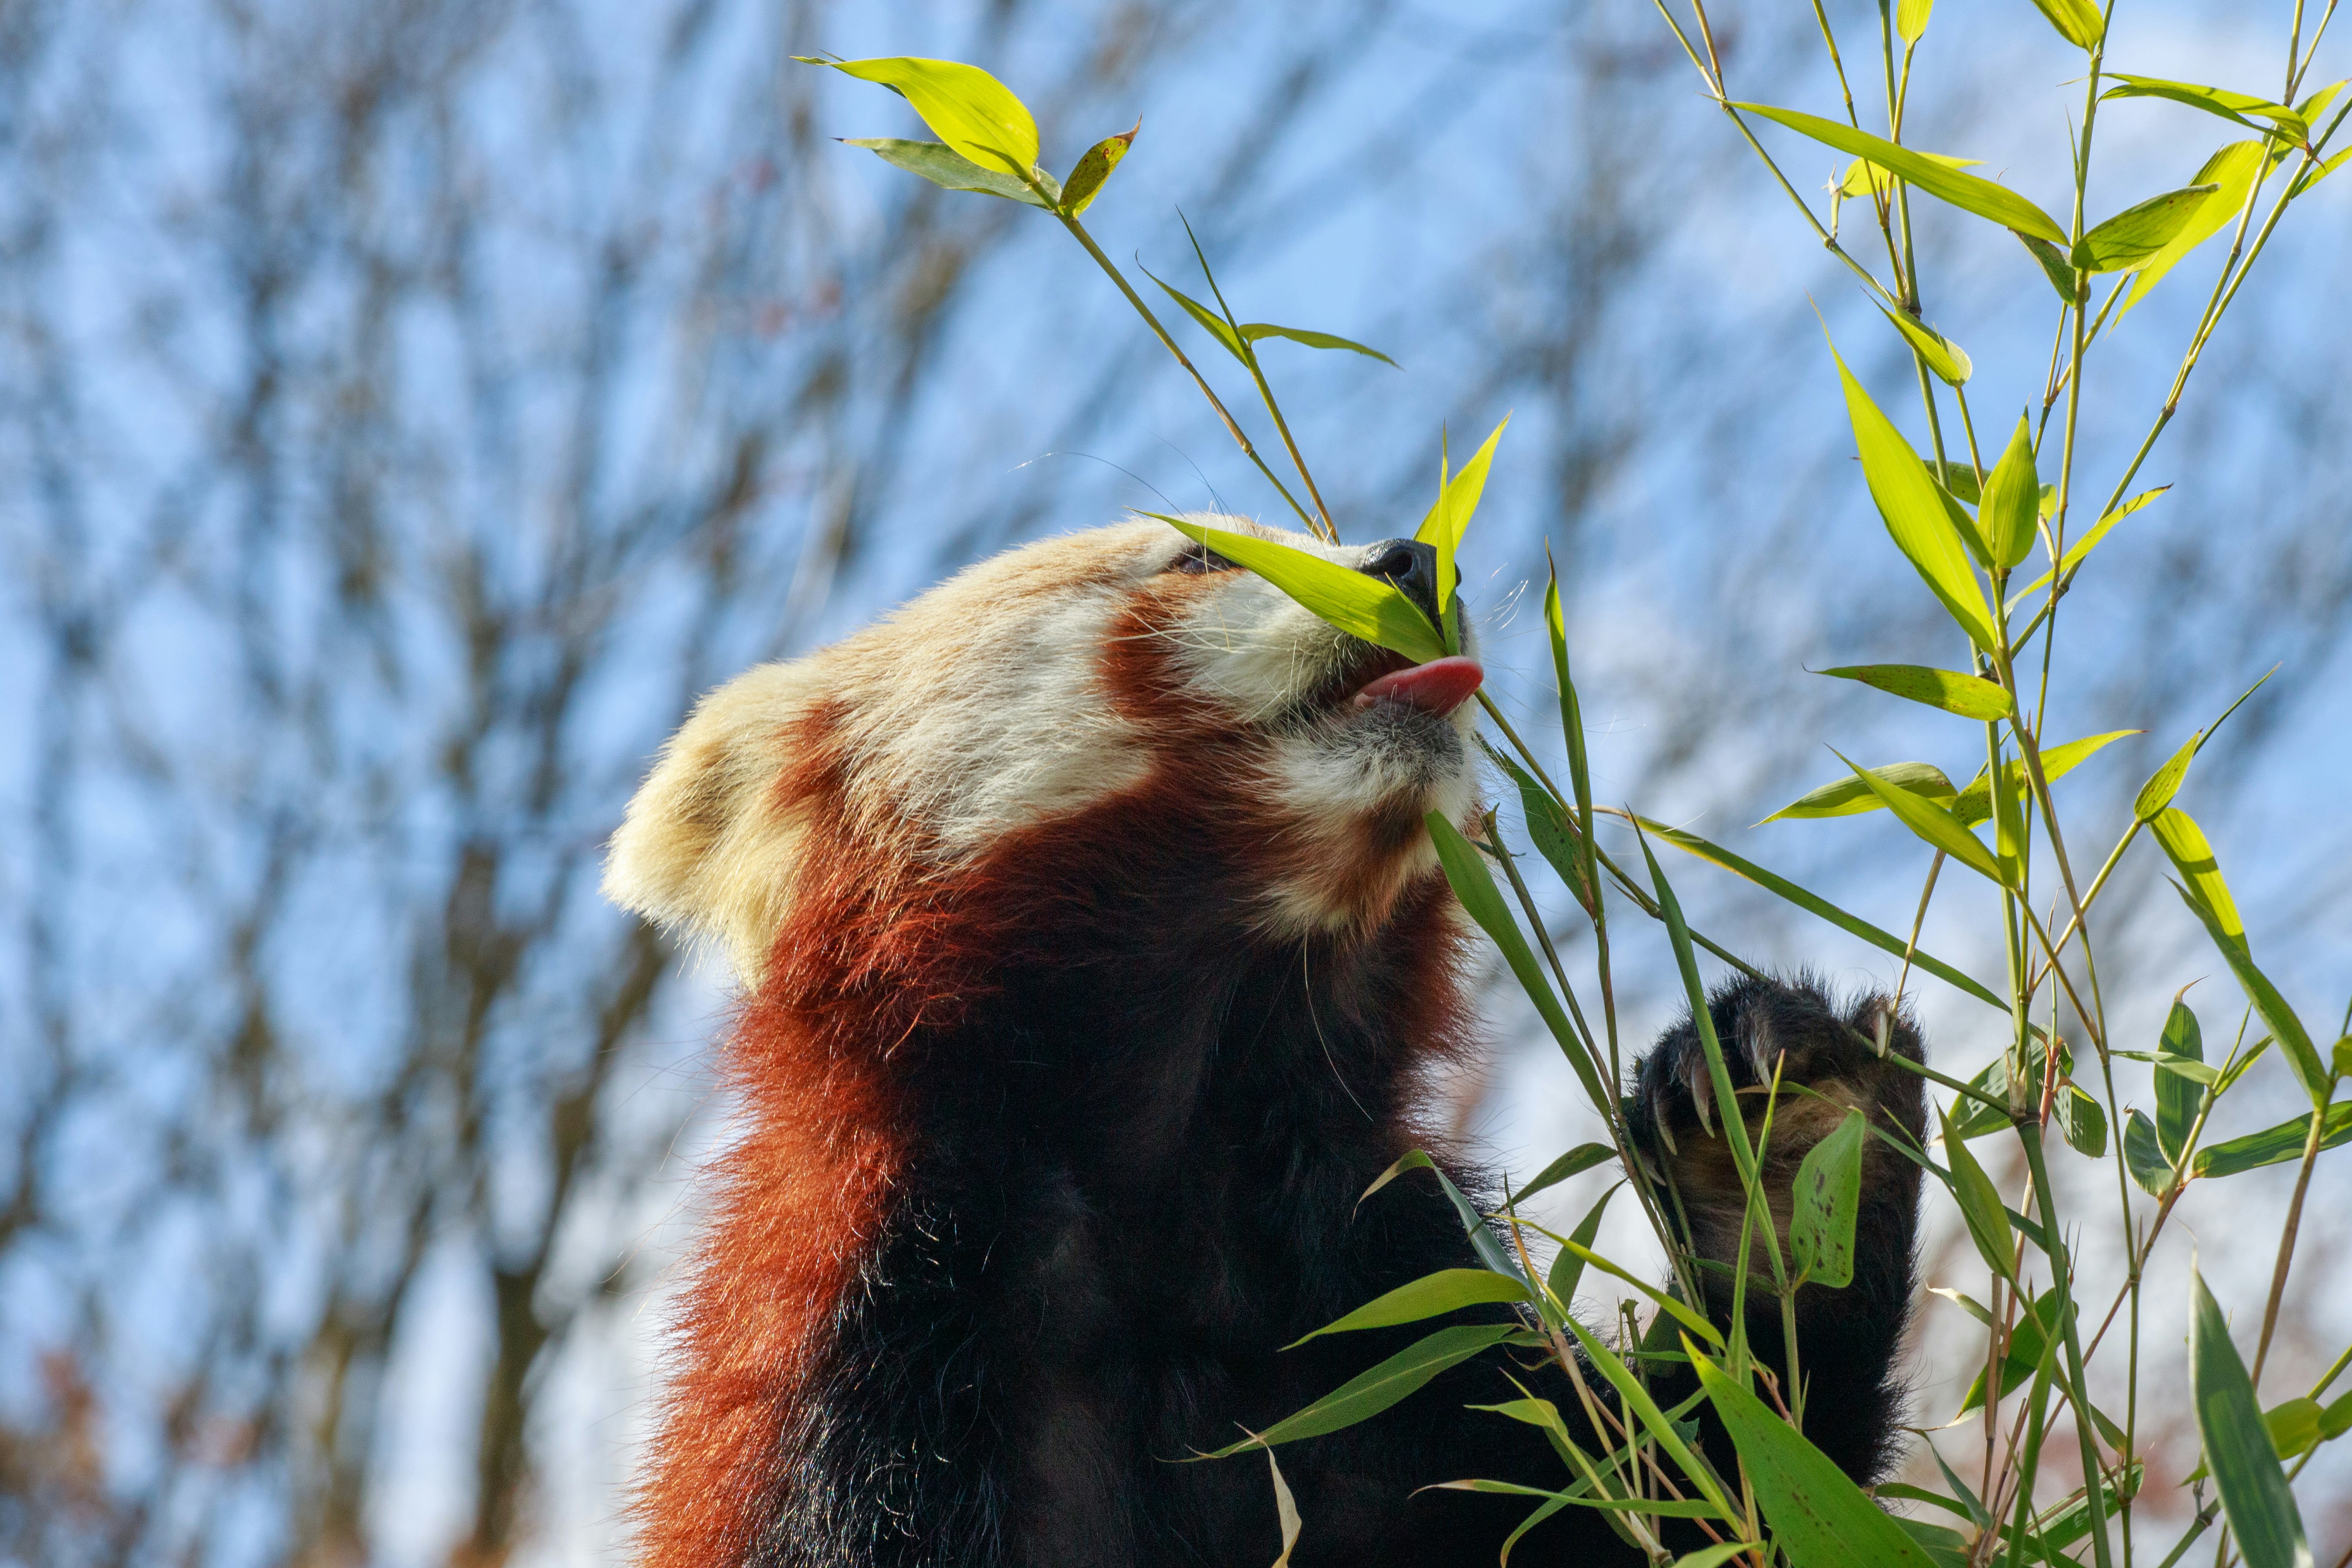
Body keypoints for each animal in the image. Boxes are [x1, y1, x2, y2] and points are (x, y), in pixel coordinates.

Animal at [603, 517, 1927, 1568]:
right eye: (1200, 555)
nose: (1414, 558)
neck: (1172, 1172)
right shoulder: (859, 1357)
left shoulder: (1395, 1317)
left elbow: (1720, 1504)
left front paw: (1789, 1171)